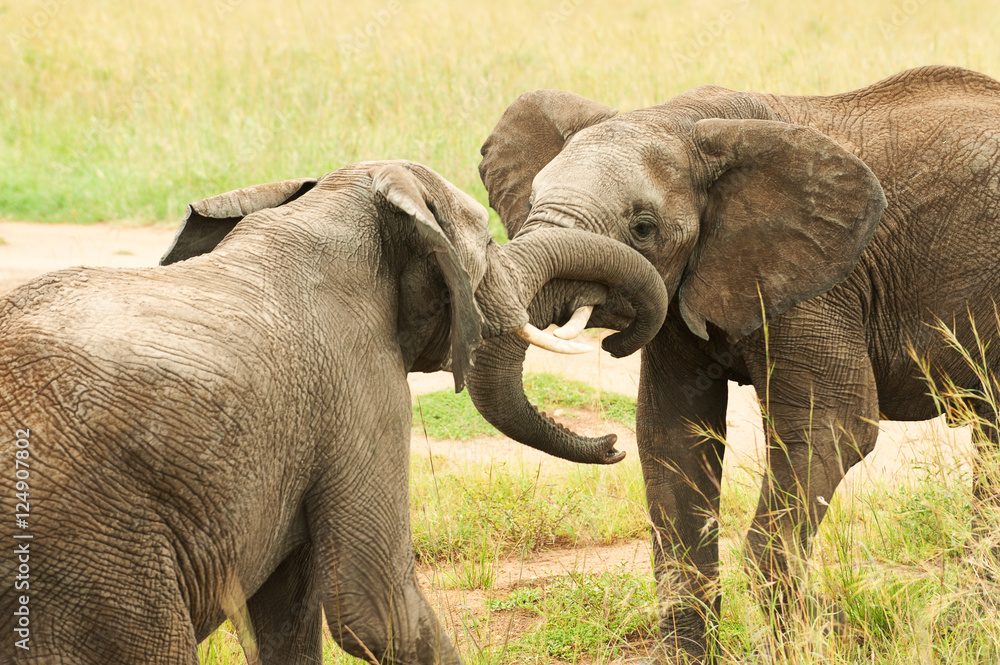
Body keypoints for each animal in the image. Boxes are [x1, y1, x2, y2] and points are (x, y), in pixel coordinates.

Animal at [0, 159, 669, 664]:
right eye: (486, 243)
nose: (612, 445)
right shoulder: (360, 383)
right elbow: (377, 612)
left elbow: (284, 615)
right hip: (91, 549)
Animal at [467, 65, 1000, 661]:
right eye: (532, 200)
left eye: (643, 227)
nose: (607, 446)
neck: (687, 121)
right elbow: (673, 439)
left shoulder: (820, 285)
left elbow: (830, 427)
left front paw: (824, 636)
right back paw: (971, 624)